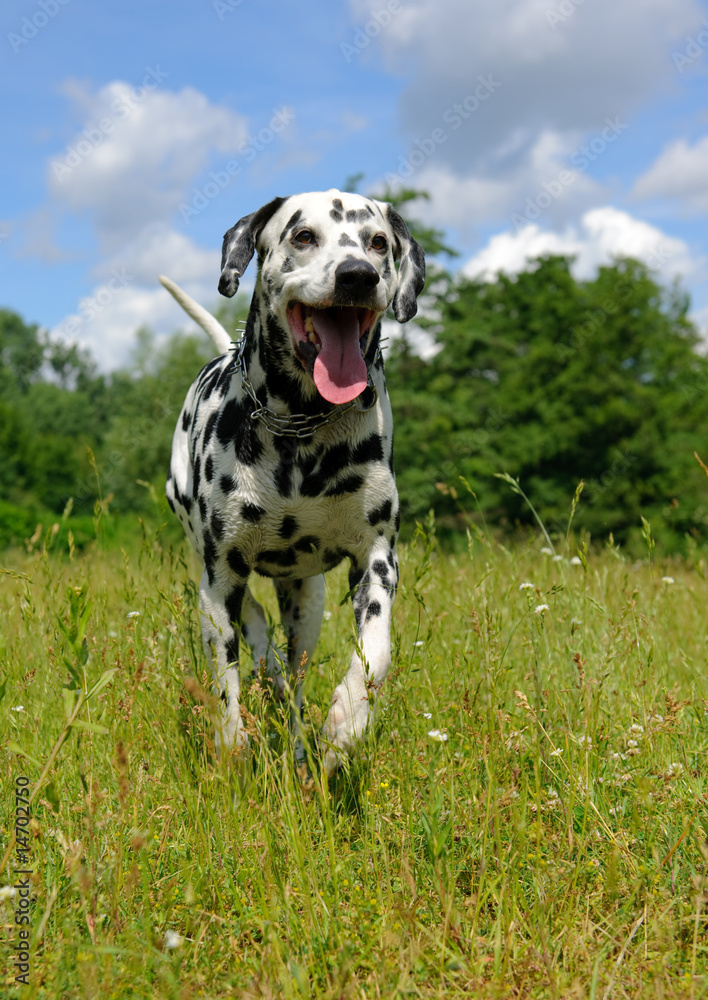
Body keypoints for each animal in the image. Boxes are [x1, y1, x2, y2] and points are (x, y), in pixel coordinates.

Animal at [162, 193, 426, 772]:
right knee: (256, 629)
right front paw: (233, 747)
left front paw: (348, 721)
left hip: (306, 603)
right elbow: (225, 683)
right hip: (211, 559)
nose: (357, 275)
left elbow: (376, 649)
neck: (304, 430)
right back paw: (266, 661)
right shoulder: (219, 580)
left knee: (297, 679)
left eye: (378, 242)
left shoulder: (376, 560)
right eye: (304, 236)